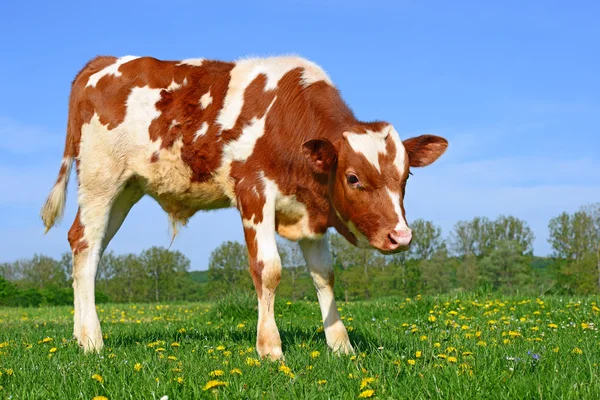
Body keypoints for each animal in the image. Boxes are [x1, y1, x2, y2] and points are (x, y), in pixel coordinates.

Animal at [41, 55, 446, 360]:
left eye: (406, 175)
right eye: (352, 178)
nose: (400, 236)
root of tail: (103, 62)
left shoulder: (311, 208)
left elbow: (324, 276)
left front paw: (340, 345)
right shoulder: (253, 191)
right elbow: (268, 270)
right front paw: (270, 348)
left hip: (127, 188)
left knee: (88, 249)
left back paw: (80, 335)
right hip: (101, 179)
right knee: (86, 244)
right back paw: (93, 340)